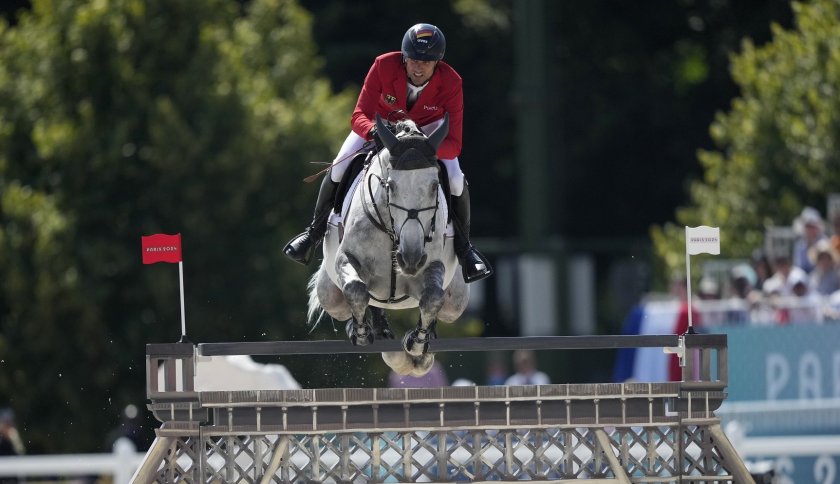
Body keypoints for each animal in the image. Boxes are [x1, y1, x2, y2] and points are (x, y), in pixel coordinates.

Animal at [306, 114, 470, 378]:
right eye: (390, 185)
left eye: (435, 186)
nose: (410, 259)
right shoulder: (346, 259)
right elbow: (355, 288)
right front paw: (361, 333)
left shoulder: (432, 266)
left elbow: (432, 297)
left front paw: (417, 343)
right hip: (330, 296)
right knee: (357, 301)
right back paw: (373, 331)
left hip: (456, 302)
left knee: (443, 307)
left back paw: (420, 353)